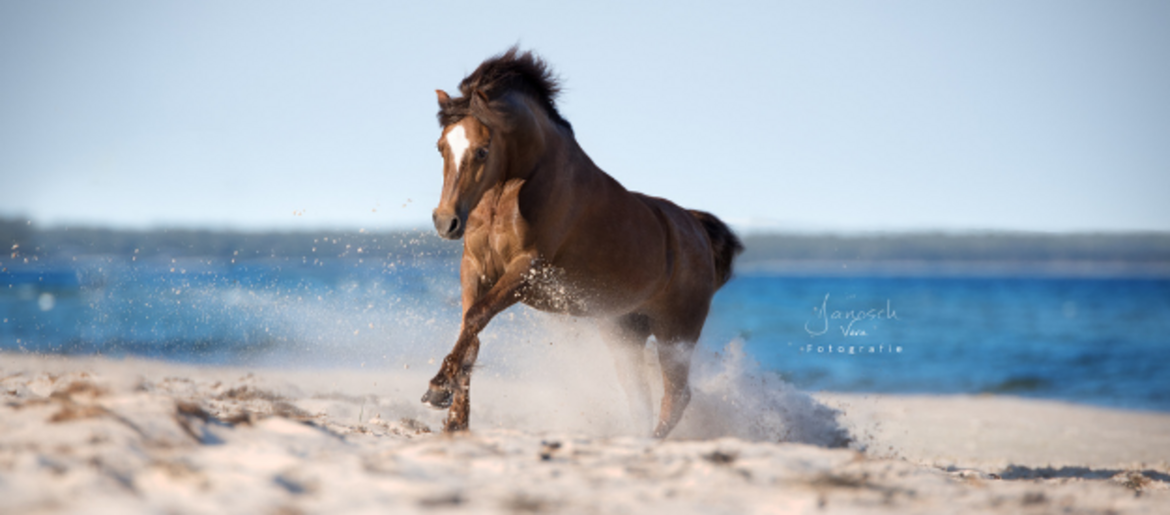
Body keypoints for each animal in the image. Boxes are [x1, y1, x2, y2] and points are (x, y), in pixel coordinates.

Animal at [425, 48, 744, 435]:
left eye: (483, 151)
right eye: (441, 147)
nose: (446, 221)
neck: (511, 191)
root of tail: (696, 229)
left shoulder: (526, 271)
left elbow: (475, 317)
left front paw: (438, 388)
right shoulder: (474, 266)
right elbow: (471, 331)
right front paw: (454, 416)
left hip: (676, 334)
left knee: (676, 396)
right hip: (624, 330)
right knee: (639, 393)